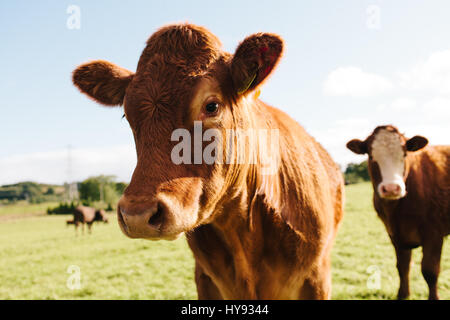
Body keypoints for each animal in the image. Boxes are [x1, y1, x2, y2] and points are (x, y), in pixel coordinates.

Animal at [348, 125, 450, 300]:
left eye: (405, 154)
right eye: (371, 156)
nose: (391, 188)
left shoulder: (434, 234)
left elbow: (430, 271)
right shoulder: (395, 234)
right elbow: (402, 267)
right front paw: (402, 294)